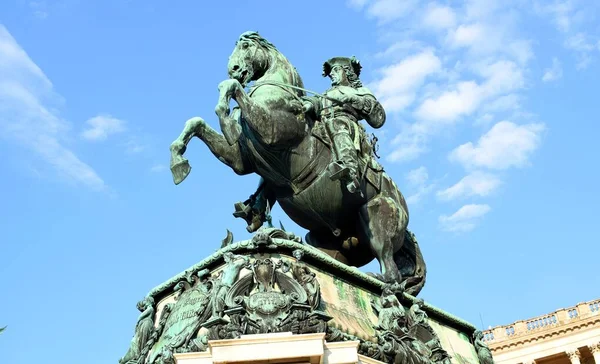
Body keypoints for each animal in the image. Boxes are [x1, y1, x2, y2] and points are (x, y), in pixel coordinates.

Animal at [169, 31, 426, 296]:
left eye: (247, 45)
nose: (234, 69)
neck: (278, 93)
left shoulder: (271, 129)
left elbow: (232, 88)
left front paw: (225, 111)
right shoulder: (240, 160)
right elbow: (196, 122)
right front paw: (178, 162)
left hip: (375, 215)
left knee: (392, 274)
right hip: (328, 239)